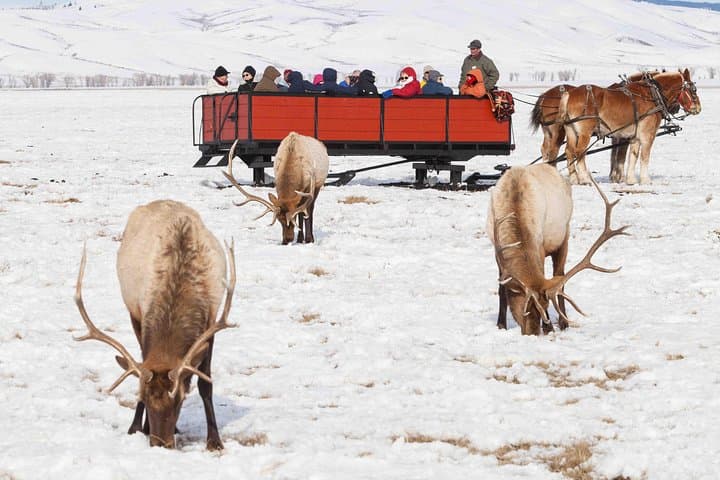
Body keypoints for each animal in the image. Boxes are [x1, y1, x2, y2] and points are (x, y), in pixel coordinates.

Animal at [74, 200, 236, 449]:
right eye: (144, 399)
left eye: (180, 399)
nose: (160, 444)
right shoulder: (139, 313)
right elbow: (142, 366)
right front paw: (137, 427)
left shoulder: (211, 320)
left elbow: (205, 383)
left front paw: (214, 440)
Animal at [486, 164, 628, 335]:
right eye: (524, 309)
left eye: (545, 307)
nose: (533, 333)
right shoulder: (497, 250)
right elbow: (501, 288)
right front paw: (501, 325)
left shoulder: (540, 246)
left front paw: (549, 328)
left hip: (564, 235)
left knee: (560, 277)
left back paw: (563, 323)